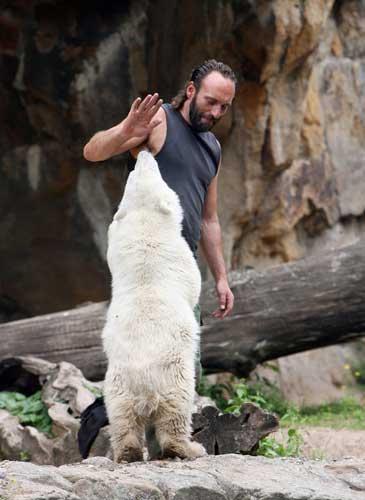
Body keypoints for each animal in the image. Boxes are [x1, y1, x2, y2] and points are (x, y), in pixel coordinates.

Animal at [101, 150, 206, 462]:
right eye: (142, 170)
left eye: (133, 173)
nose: (146, 153)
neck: (145, 223)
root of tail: (144, 387)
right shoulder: (180, 253)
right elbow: (194, 281)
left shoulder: (116, 238)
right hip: (175, 378)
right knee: (176, 415)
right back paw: (189, 448)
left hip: (117, 389)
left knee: (123, 420)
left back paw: (127, 452)